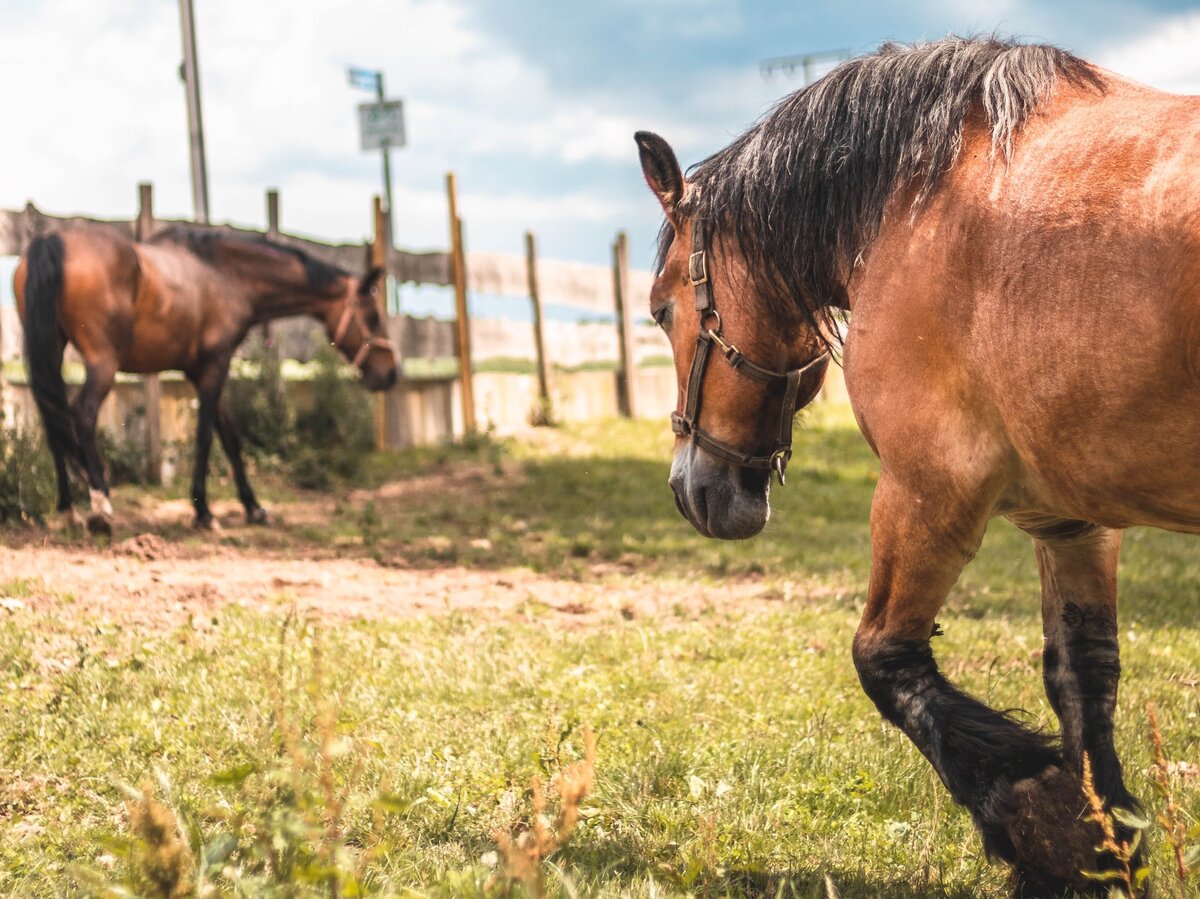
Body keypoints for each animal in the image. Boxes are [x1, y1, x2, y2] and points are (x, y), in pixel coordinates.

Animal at [12, 225, 398, 532]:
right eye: (373, 317)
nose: (391, 373)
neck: (224, 274)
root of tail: (52, 241)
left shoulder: (200, 370)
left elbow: (230, 437)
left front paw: (253, 507)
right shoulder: (215, 365)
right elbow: (206, 436)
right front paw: (203, 511)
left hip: (50, 353)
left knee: (53, 422)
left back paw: (68, 510)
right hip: (102, 364)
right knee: (81, 415)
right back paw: (100, 507)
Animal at [633, 36, 1195, 897]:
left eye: (662, 310)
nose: (689, 488)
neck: (919, 197)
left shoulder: (929, 487)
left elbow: (885, 659)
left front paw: (1044, 818)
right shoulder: (1071, 520)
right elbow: (1083, 675)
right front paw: (1103, 846)